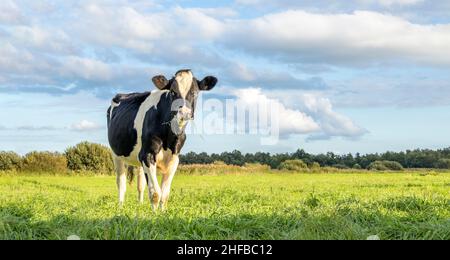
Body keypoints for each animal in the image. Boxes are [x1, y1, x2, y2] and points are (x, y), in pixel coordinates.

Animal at [106, 70, 217, 210]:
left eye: (195, 92)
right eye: (173, 92)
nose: (184, 113)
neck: (169, 135)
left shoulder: (174, 158)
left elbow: (165, 195)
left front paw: (163, 213)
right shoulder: (147, 155)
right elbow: (155, 193)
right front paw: (154, 214)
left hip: (138, 158)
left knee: (140, 184)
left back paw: (140, 204)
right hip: (116, 154)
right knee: (121, 183)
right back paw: (120, 207)